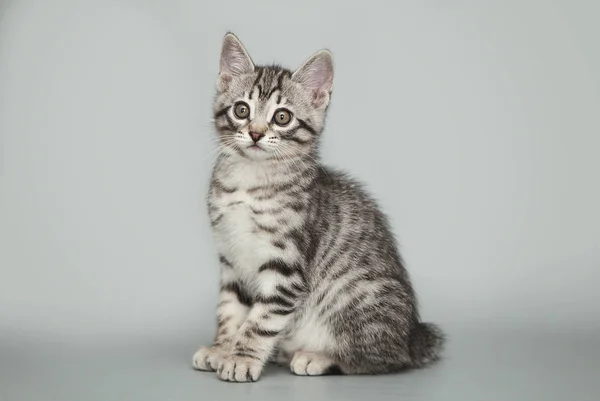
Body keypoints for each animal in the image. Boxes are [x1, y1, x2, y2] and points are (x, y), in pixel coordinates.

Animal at [193, 32, 446, 380]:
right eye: (242, 110)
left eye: (282, 117)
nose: (256, 133)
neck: (251, 181)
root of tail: (410, 338)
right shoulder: (231, 260)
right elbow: (230, 311)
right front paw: (221, 349)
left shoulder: (286, 266)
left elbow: (260, 321)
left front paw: (241, 358)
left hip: (357, 296)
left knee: (380, 359)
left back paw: (317, 357)